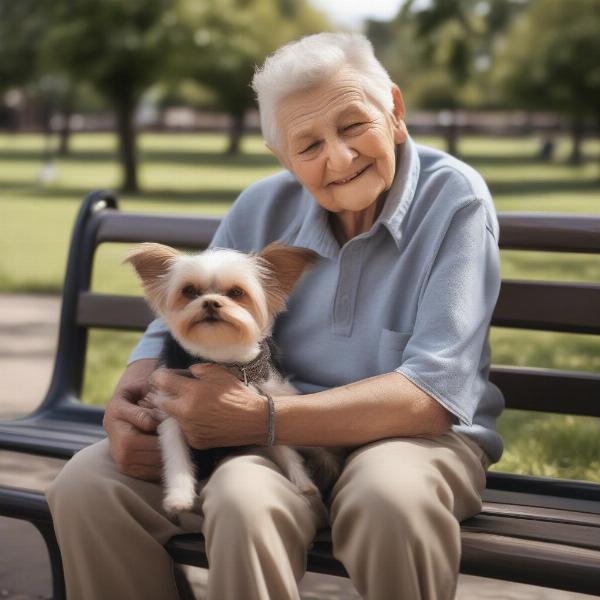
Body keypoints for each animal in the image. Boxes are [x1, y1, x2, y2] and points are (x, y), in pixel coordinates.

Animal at [126, 241, 346, 512]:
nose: (211, 302)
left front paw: (303, 482)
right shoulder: (170, 411)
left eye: (236, 292)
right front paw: (179, 497)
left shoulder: (267, 403)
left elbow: (284, 447)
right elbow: (176, 454)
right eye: (189, 291)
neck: (222, 359)